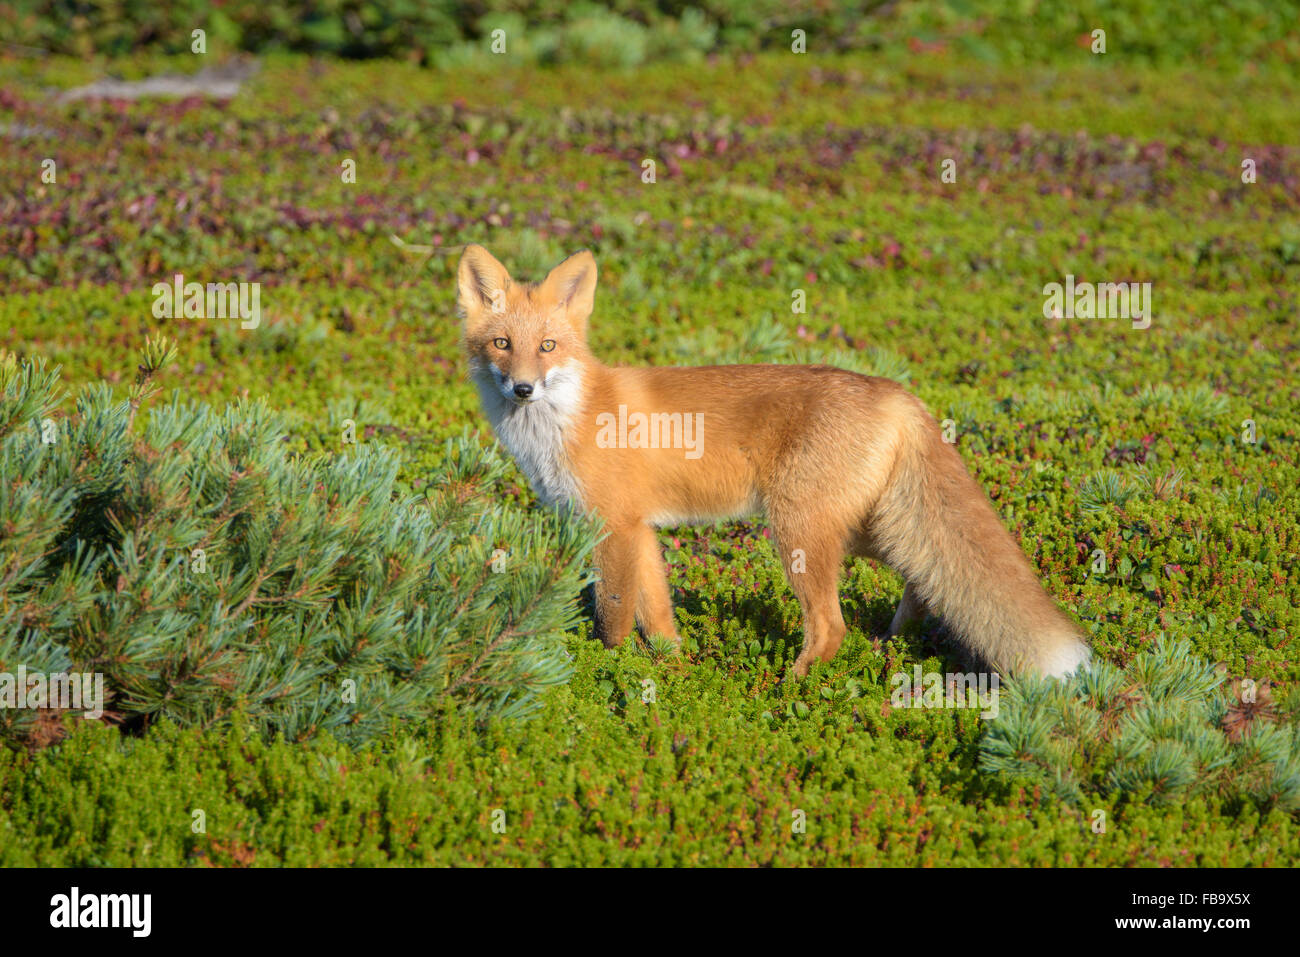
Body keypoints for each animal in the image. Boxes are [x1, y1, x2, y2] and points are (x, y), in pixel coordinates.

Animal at [457, 244, 1091, 679]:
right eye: (502, 345)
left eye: (548, 347)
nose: (522, 389)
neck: (566, 422)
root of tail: (895, 390)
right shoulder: (641, 531)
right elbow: (657, 619)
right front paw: (674, 670)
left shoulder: (615, 529)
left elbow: (612, 618)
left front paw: (610, 670)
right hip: (868, 527)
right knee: (927, 576)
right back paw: (892, 640)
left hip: (797, 531)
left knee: (833, 625)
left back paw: (795, 684)